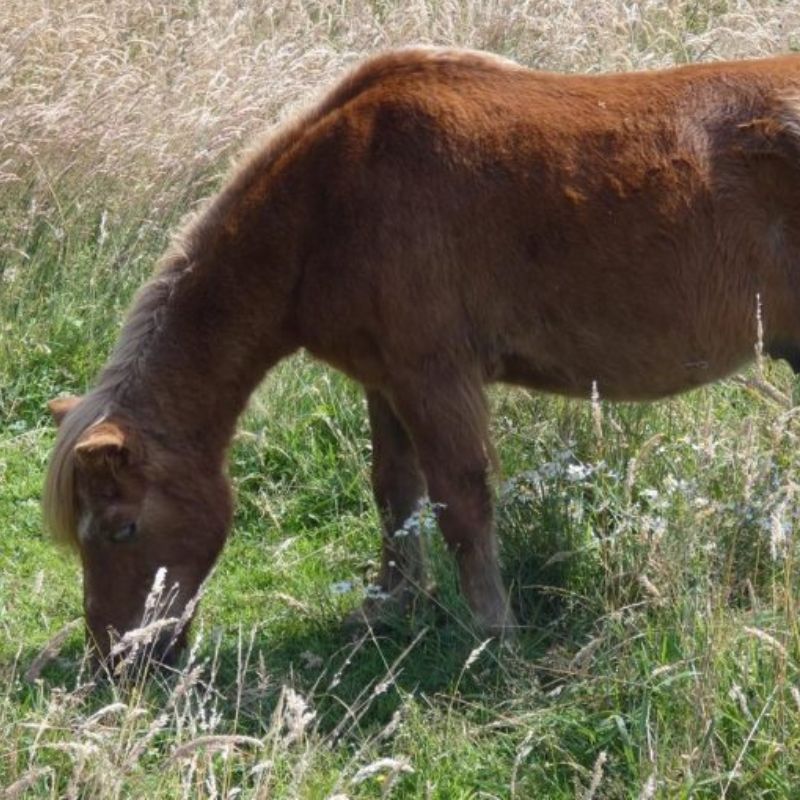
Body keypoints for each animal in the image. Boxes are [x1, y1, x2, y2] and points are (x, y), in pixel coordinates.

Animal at [44, 47, 800, 664]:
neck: (328, 199)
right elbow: (393, 492)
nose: (119, 660)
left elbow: (460, 504)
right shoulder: (385, 381)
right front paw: (391, 603)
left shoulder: (434, 379)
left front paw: (493, 634)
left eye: (121, 528)